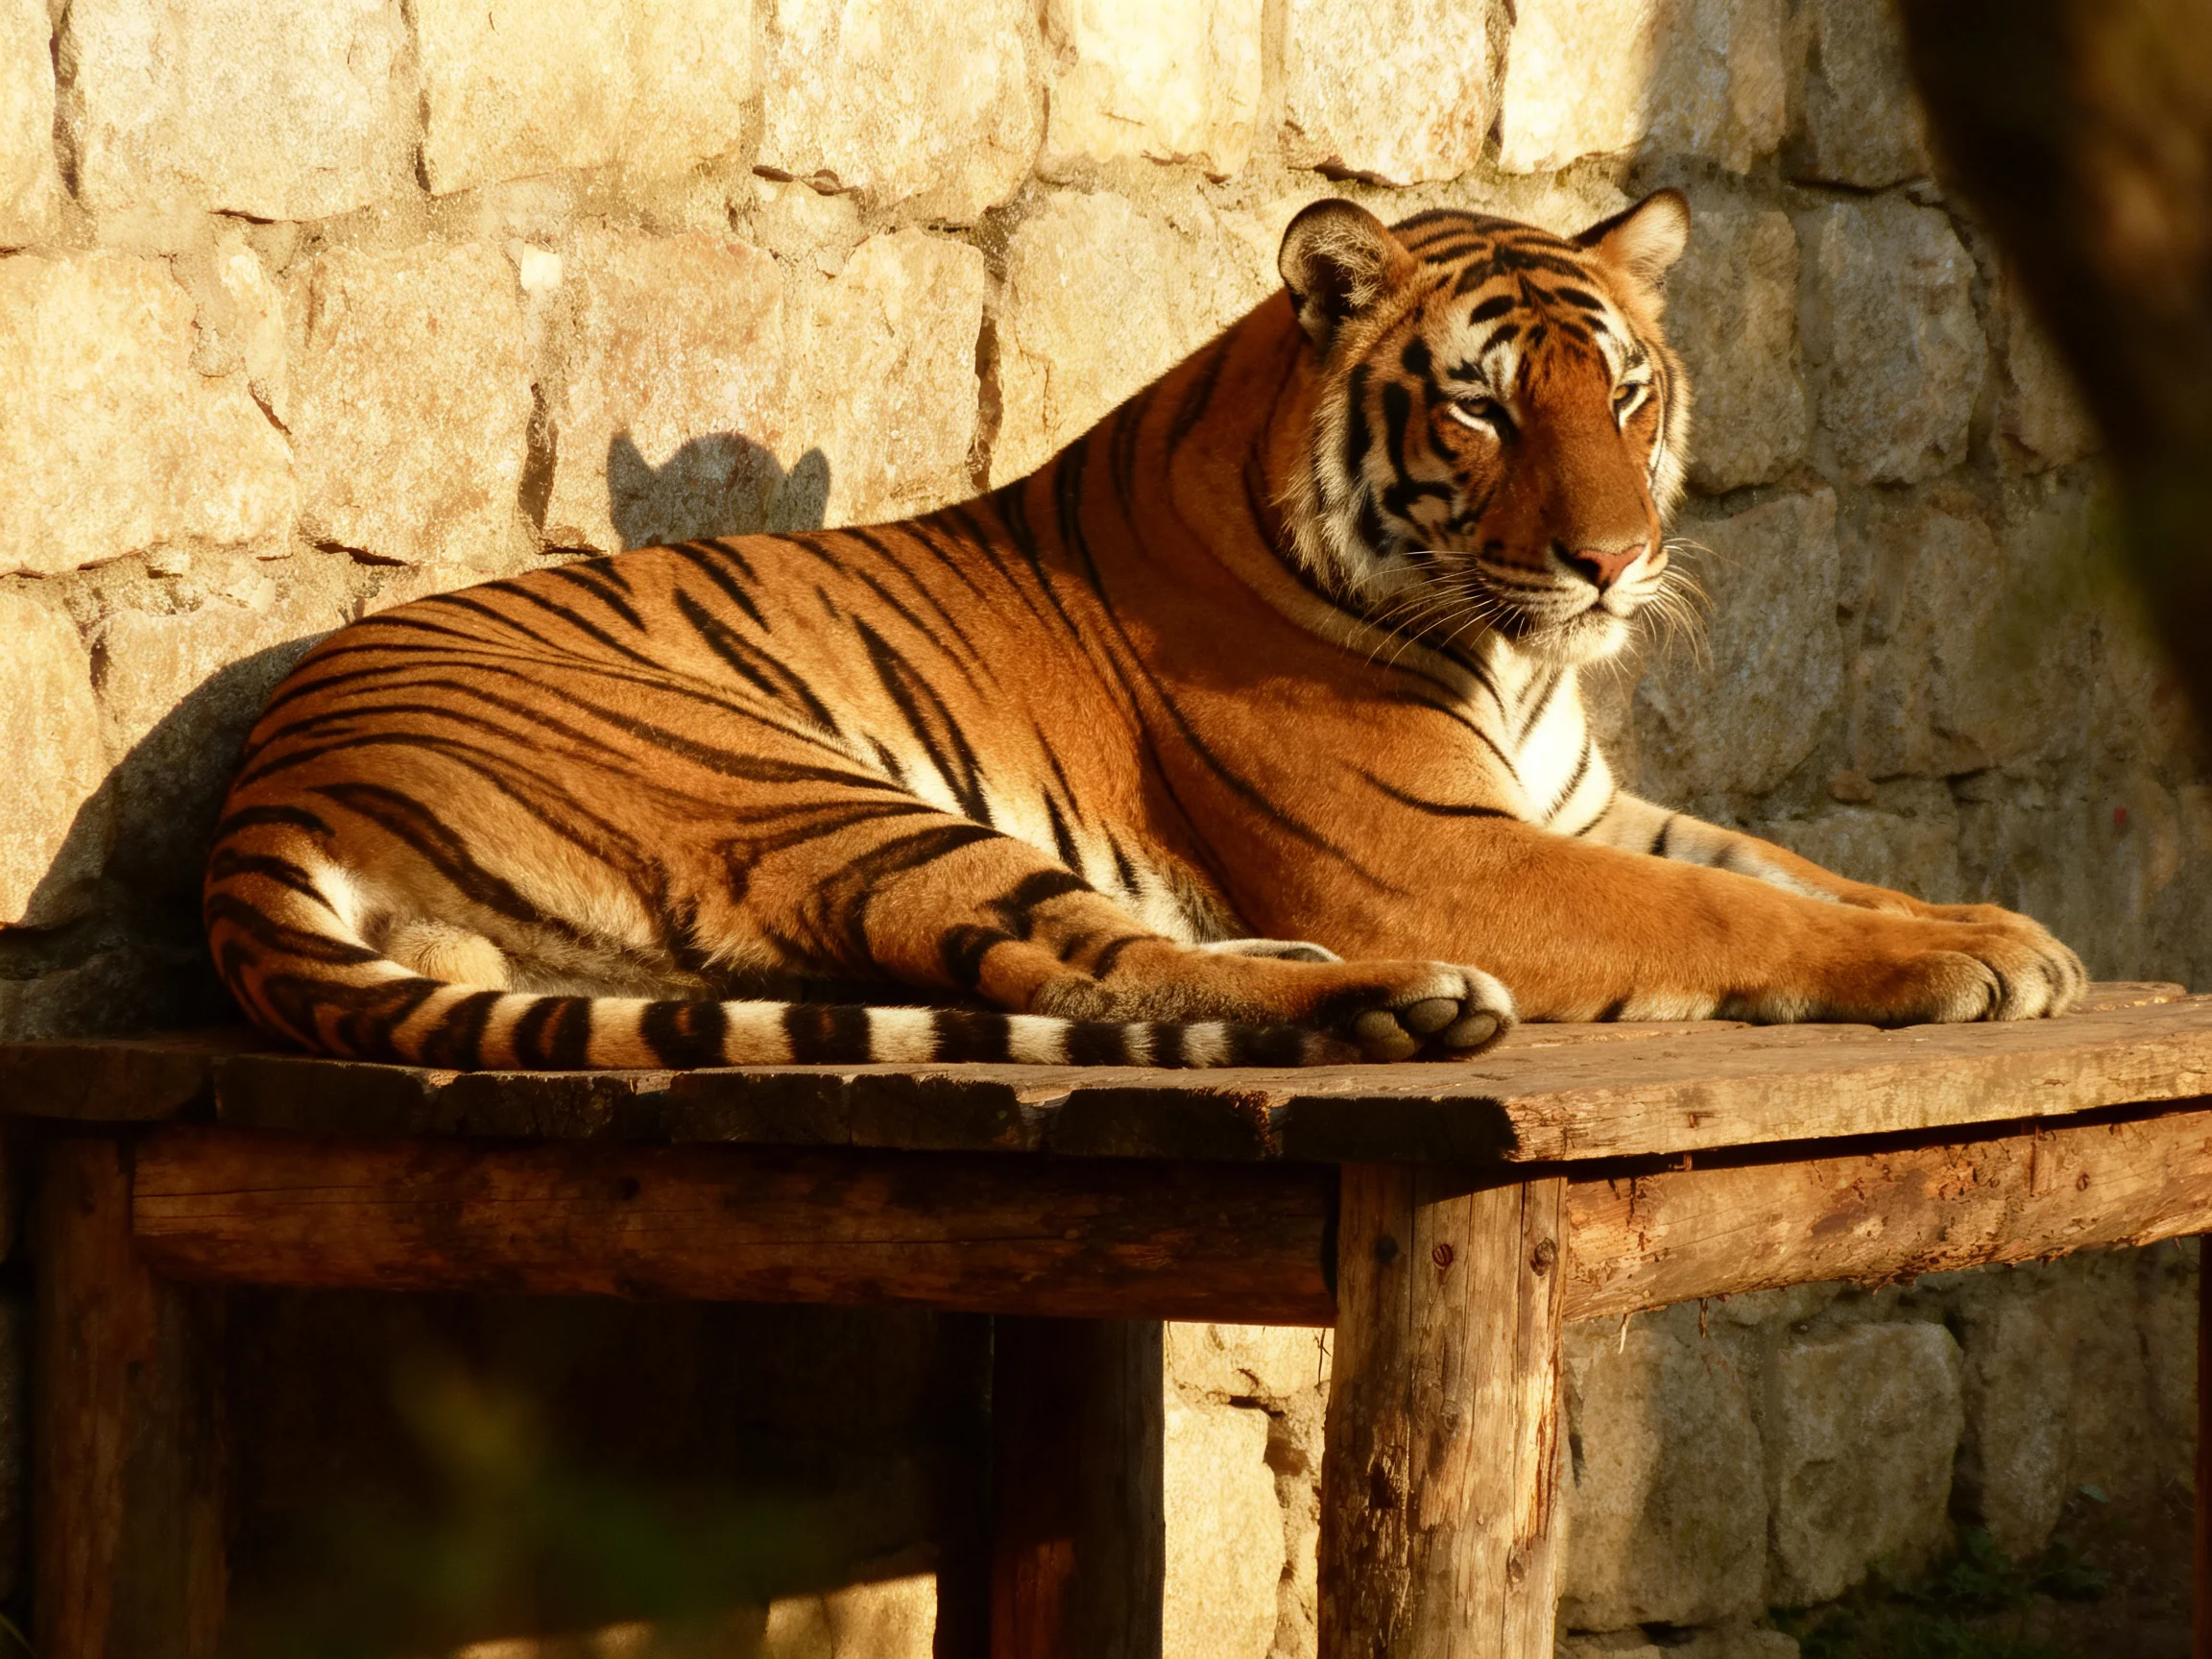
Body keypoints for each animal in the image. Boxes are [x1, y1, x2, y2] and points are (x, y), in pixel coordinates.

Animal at [202, 189, 2087, 1073]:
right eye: (1482, 406)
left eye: (1622, 392)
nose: (1615, 564)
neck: (1517, 656)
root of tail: (260, 792)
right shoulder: (1447, 853)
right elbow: (1720, 907)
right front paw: (1957, 964)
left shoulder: (1573, 803)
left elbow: (1788, 865)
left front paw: (2001, 925)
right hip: (798, 789)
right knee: (1064, 962)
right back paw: (1400, 1003)